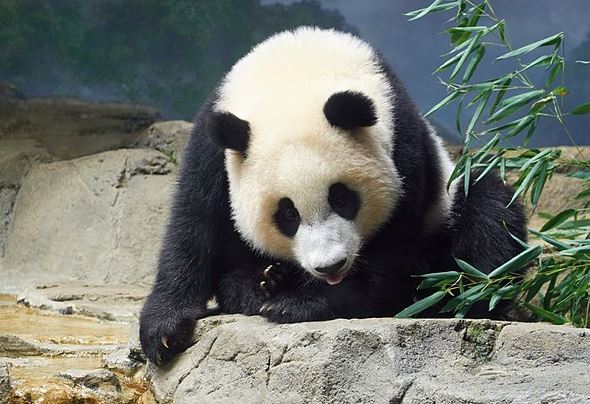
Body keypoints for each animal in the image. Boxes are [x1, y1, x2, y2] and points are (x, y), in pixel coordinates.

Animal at [139, 26, 528, 364]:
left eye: (342, 199)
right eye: (287, 214)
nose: (330, 266)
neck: (293, 77)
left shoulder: (401, 141)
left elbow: (391, 245)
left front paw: (301, 304)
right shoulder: (214, 147)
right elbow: (193, 223)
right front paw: (164, 331)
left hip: (450, 203)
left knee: (488, 221)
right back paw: (261, 282)